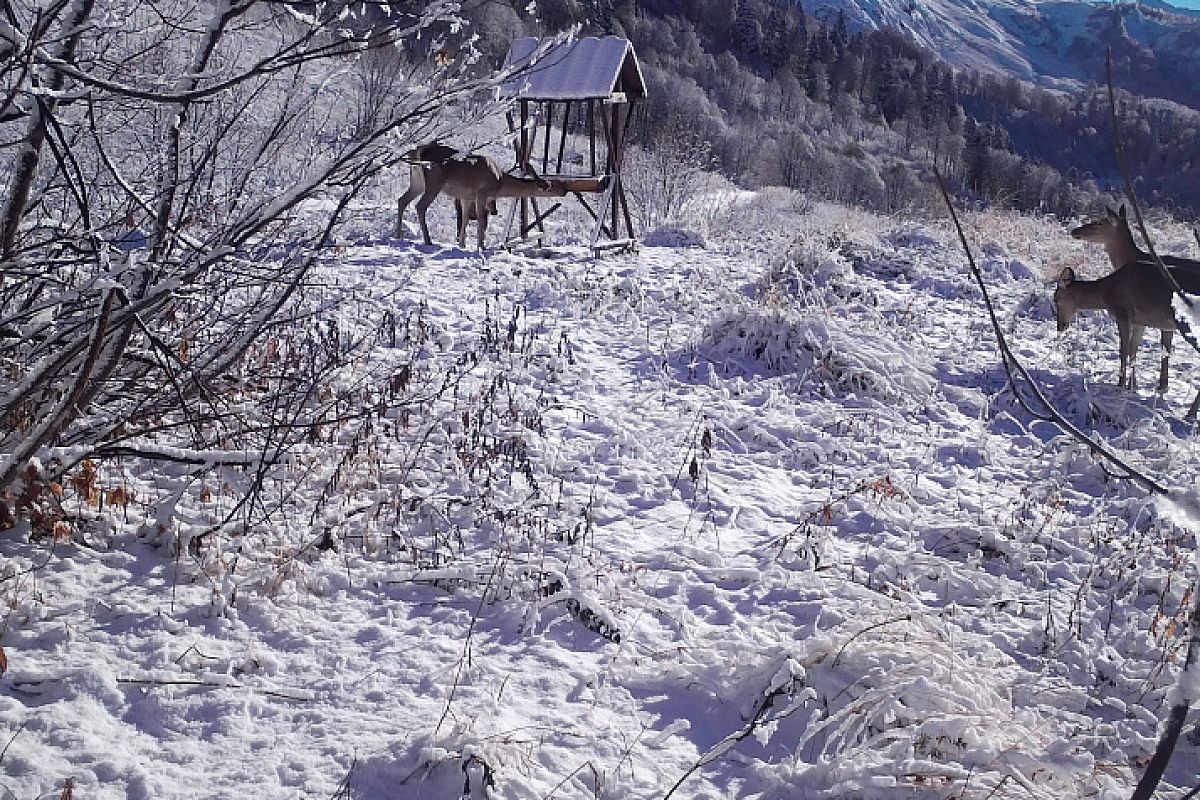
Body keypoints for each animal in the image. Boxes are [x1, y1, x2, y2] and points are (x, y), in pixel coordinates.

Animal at [391, 143, 564, 250]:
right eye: (550, 185)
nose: (564, 191)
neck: (499, 181)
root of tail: (415, 153)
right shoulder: (481, 193)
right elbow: (481, 219)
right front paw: (481, 246)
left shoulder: (466, 197)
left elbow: (465, 219)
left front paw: (462, 244)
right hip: (433, 184)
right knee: (420, 206)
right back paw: (427, 240)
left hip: (417, 182)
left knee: (402, 200)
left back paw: (398, 235)